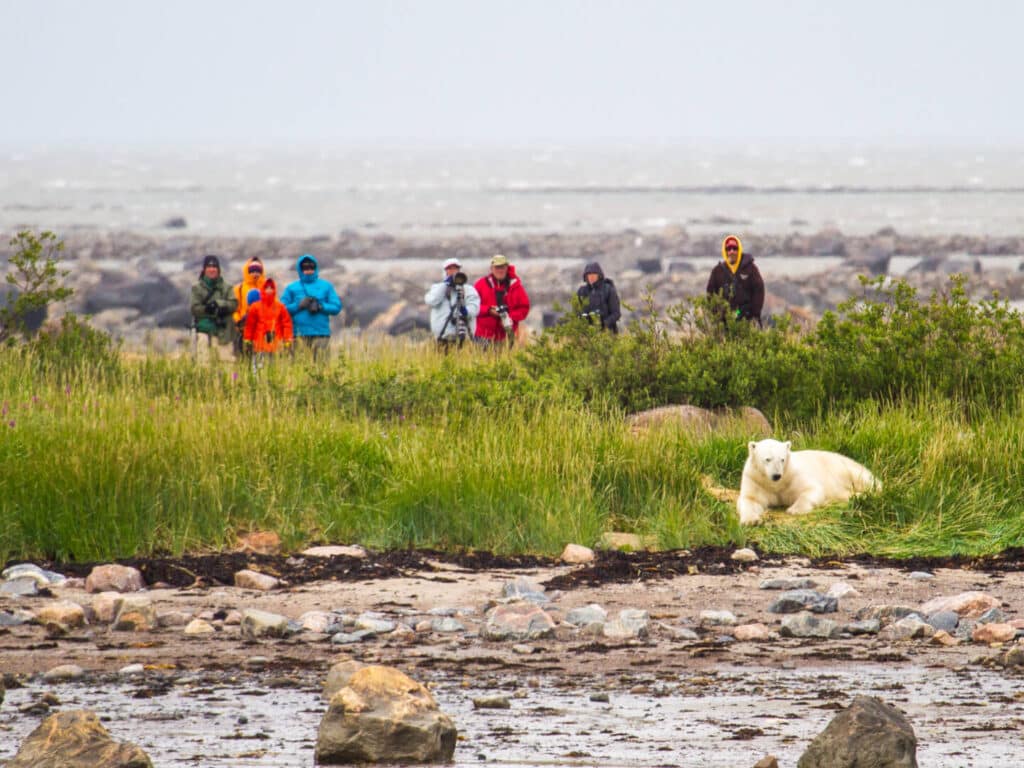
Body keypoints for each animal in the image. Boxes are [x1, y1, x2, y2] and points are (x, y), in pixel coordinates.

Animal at [737, 438, 880, 525]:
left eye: (782, 459)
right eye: (767, 459)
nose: (777, 475)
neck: (775, 484)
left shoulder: (792, 475)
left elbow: (811, 489)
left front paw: (794, 510)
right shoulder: (755, 480)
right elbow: (750, 499)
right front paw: (750, 521)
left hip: (844, 468)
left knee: (866, 481)